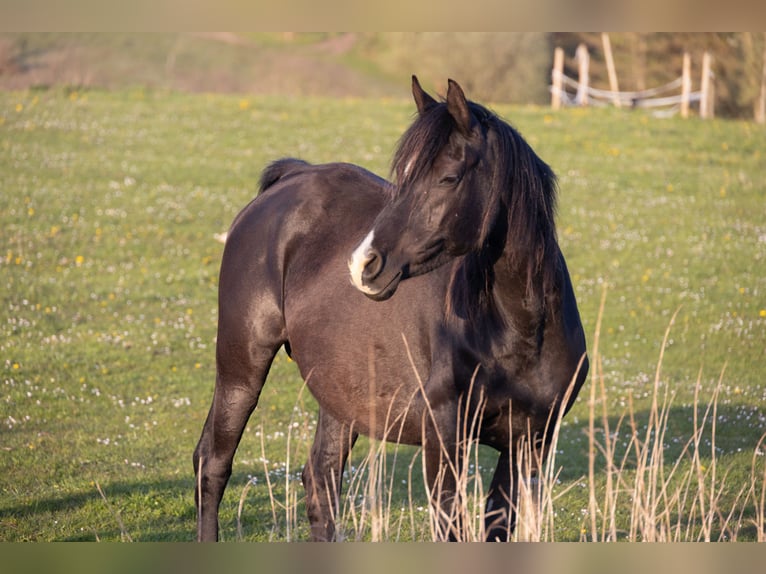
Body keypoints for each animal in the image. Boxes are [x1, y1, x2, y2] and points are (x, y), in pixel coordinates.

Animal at [194, 77, 588, 544]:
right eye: (402, 176)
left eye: (449, 178)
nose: (364, 263)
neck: (517, 330)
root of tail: (290, 178)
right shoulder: (444, 441)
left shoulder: (528, 444)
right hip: (242, 369)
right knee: (212, 464)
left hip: (339, 394)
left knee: (321, 481)